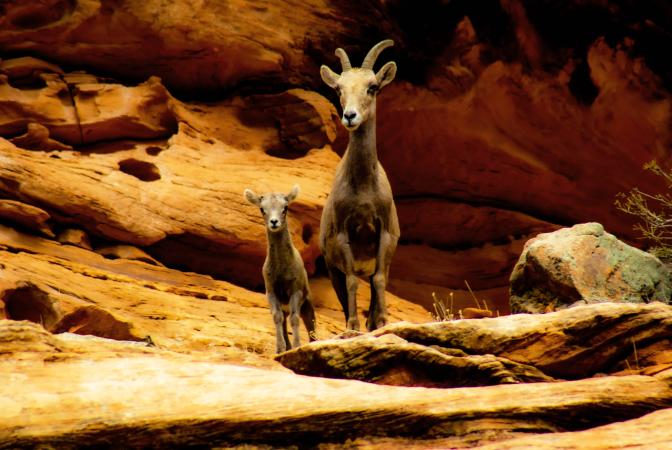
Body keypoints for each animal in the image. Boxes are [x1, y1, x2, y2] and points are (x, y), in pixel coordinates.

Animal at [244, 185, 317, 352]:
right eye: (262, 209)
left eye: (285, 207)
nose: (274, 222)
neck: (282, 270)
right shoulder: (272, 292)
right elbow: (277, 318)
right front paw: (280, 349)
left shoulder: (295, 291)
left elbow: (295, 319)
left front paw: (297, 346)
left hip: (307, 303)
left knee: (311, 325)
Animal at [318, 39, 400, 332]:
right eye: (339, 88)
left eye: (372, 86)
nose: (350, 116)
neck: (364, 190)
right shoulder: (344, 235)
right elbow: (353, 281)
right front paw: (352, 326)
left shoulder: (384, 234)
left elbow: (378, 280)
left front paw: (383, 322)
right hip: (332, 268)